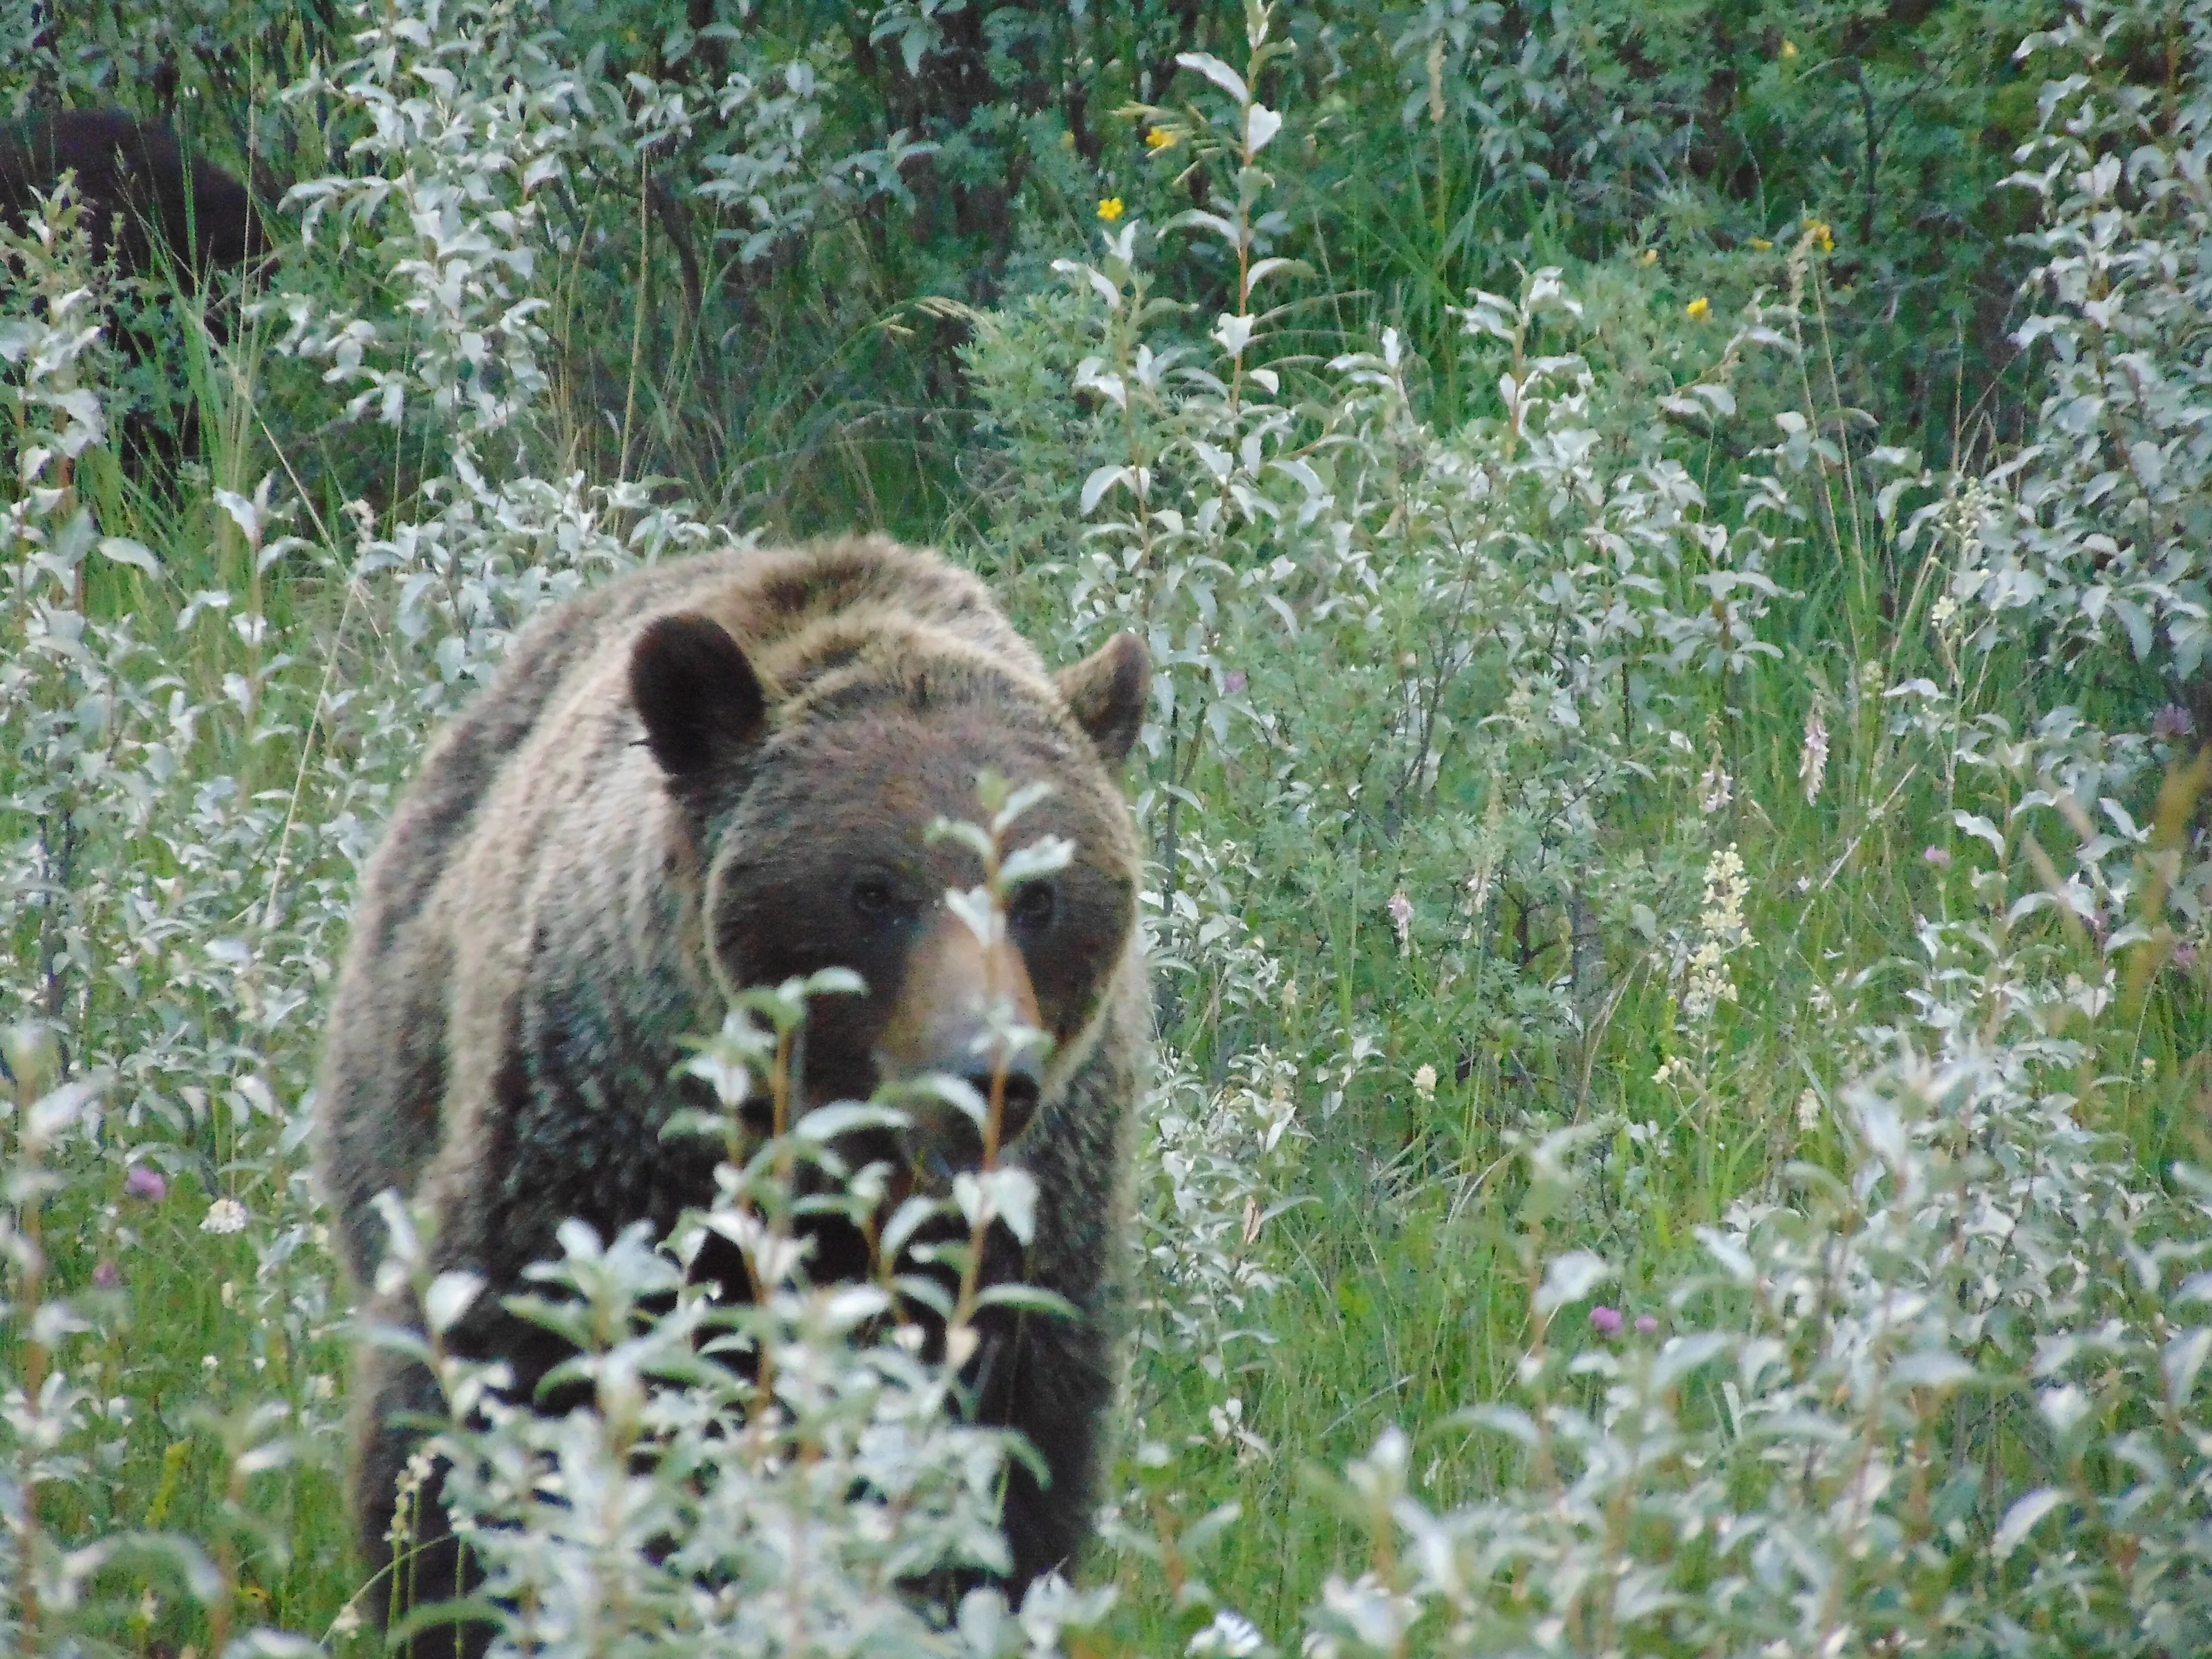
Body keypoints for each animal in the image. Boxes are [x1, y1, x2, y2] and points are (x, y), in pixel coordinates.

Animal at [315, 536, 1151, 1642]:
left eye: (1041, 894)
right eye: (873, 891)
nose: (989, 1074)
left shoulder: (1035, 1219)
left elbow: (1006, 1450)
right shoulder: (593, 1143)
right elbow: (493, 1383)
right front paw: (457, 1592)